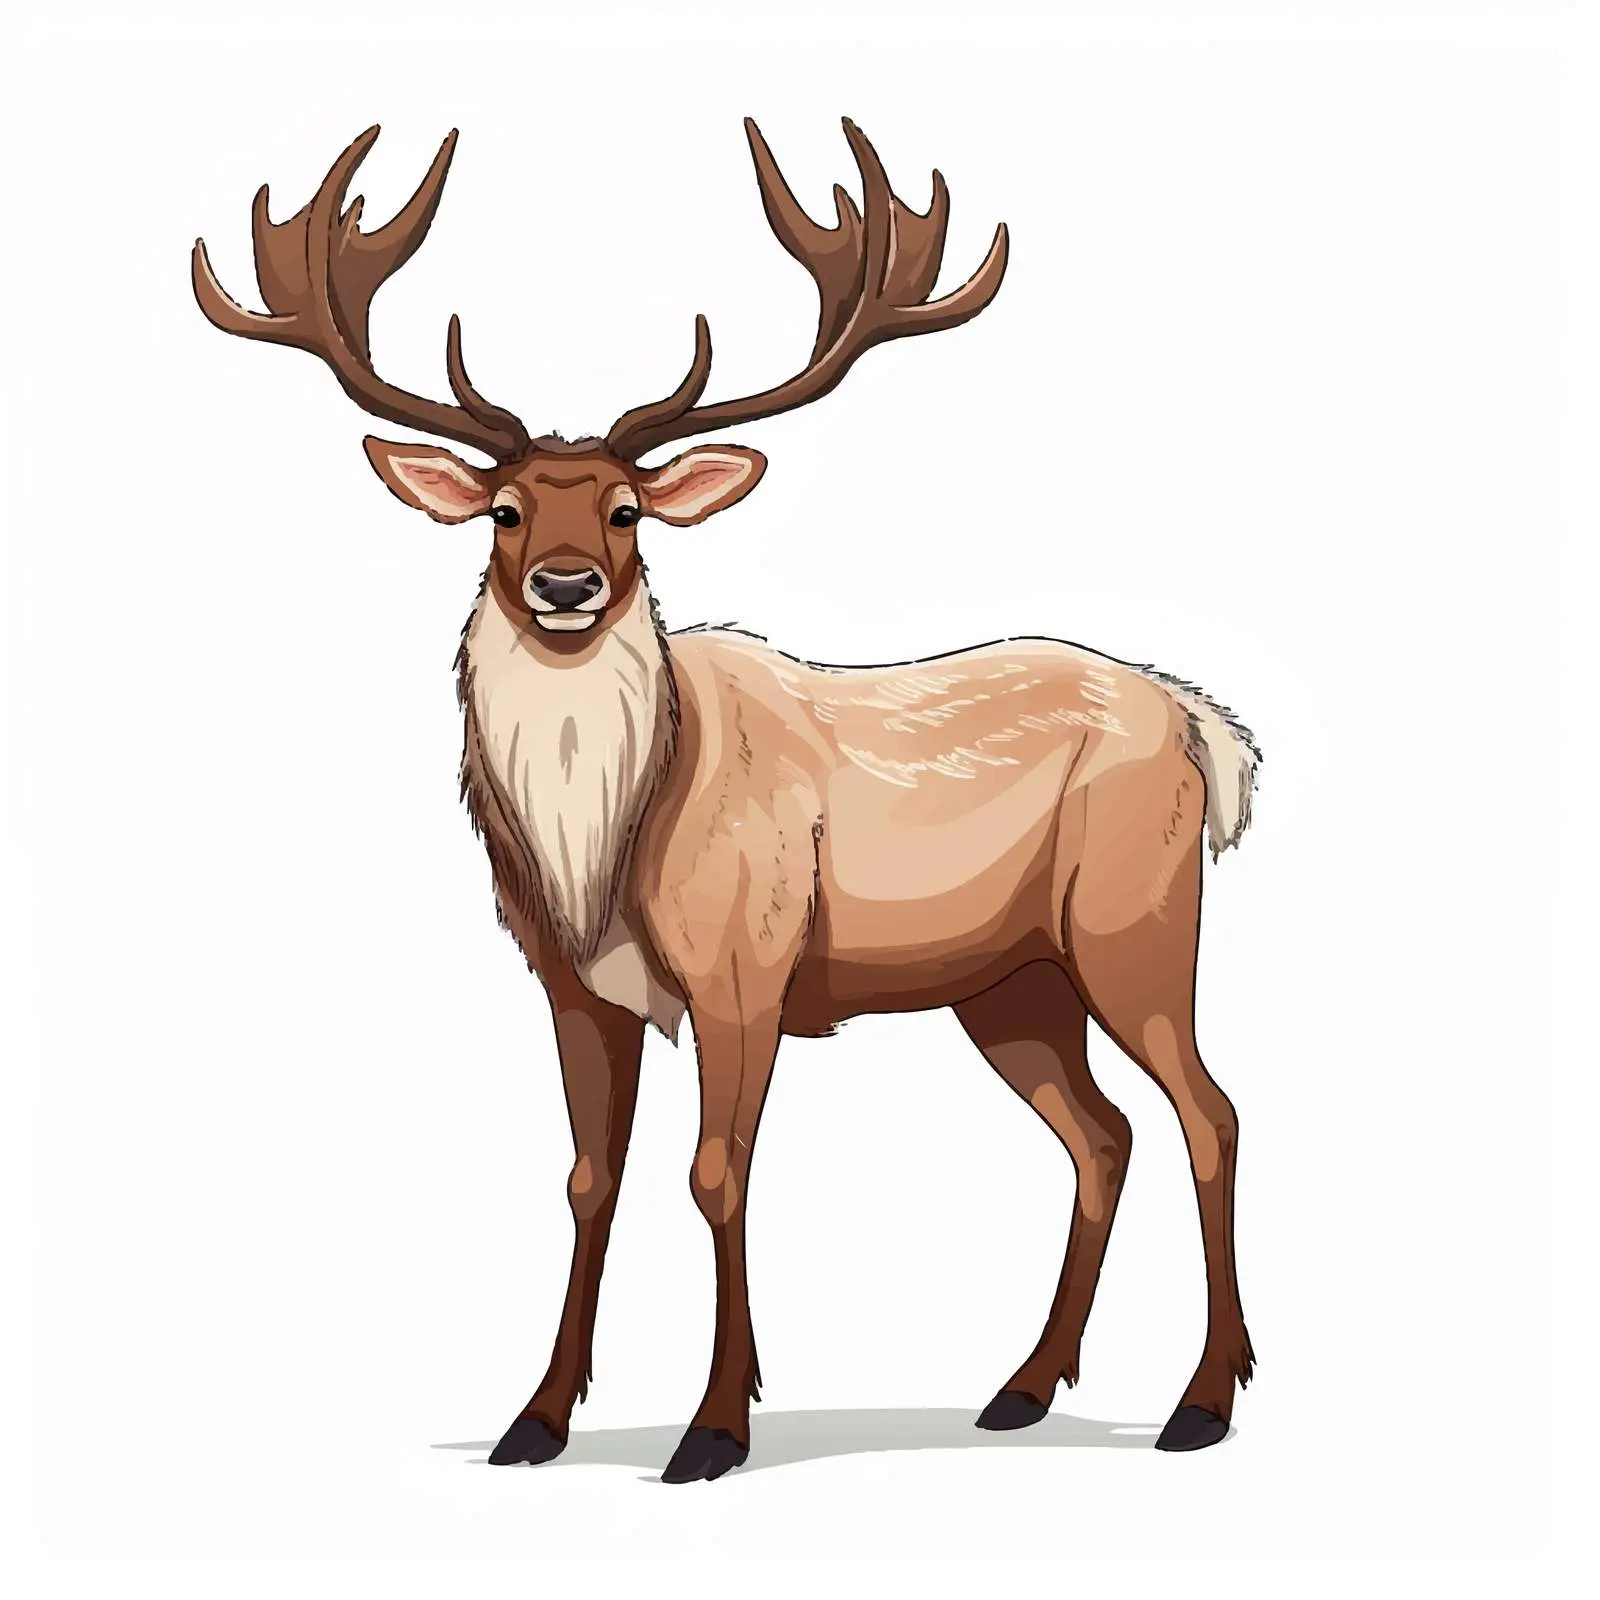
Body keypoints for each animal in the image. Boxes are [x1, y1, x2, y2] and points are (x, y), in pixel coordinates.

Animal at [193, 118, 1260, 1482]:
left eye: (625, 509)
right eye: (503, 509)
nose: (565, 585)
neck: (603, 852)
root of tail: (1201, 725)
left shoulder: (743, 966)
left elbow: (718, 1173)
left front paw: (713, 1425)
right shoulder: (571, 984)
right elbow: (588, 1177)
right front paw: (535, 1418)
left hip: (1135, 921)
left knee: (1208, 1113)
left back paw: (1202, 1401)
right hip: (1007, 980)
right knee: (1102, 1133)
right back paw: (1021, 1386)